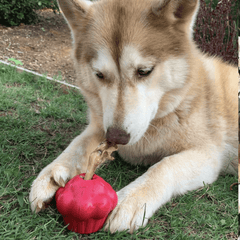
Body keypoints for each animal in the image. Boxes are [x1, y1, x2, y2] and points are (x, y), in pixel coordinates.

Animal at [28, 0, 238, 233]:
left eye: (144, 71)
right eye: (99, 75)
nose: (117, 137)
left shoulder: (208, 155)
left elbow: (164, 166)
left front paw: (131, 199)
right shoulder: (100, 128)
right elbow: (77, 146)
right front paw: (52, 173)